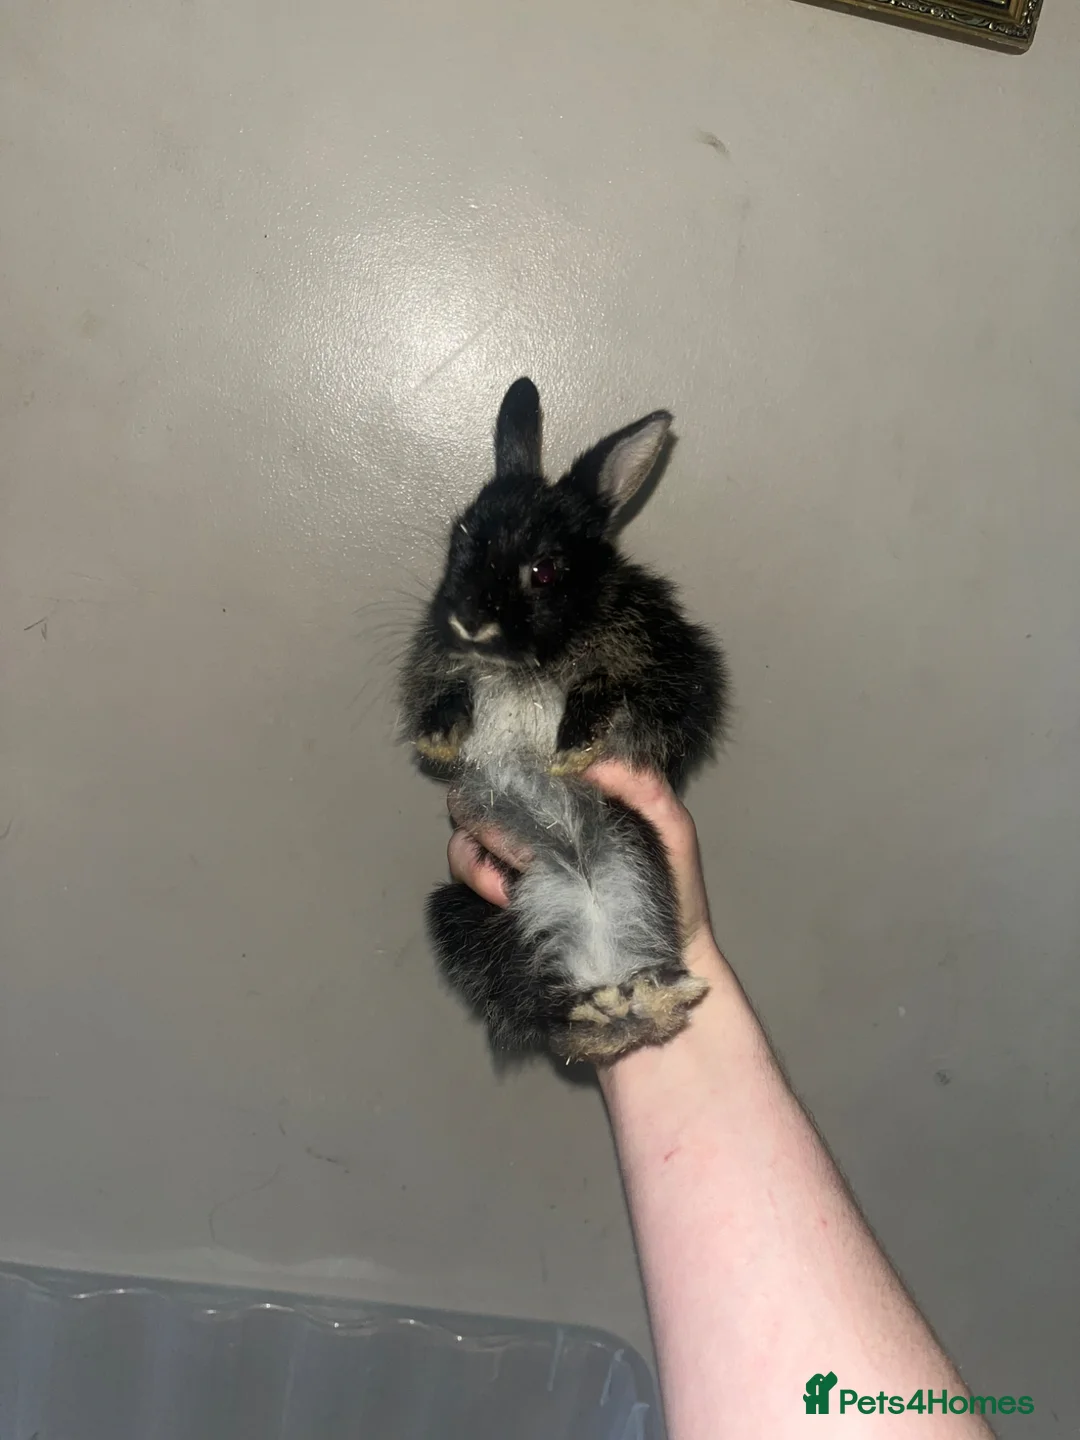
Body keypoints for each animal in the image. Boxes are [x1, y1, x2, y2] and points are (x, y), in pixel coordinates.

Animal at [400, 377, 728, 1063]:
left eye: (545, 569)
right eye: (459, 537)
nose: (468, 620)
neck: (529, 663)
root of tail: (600, 961)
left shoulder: (669, 671)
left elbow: (612, 690)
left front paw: (572, 745)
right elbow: (447, 692)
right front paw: (440, 739)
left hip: (632, 849)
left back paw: (647, 1000)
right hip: (469, 915)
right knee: (540, 1006)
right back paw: (599, 1012)